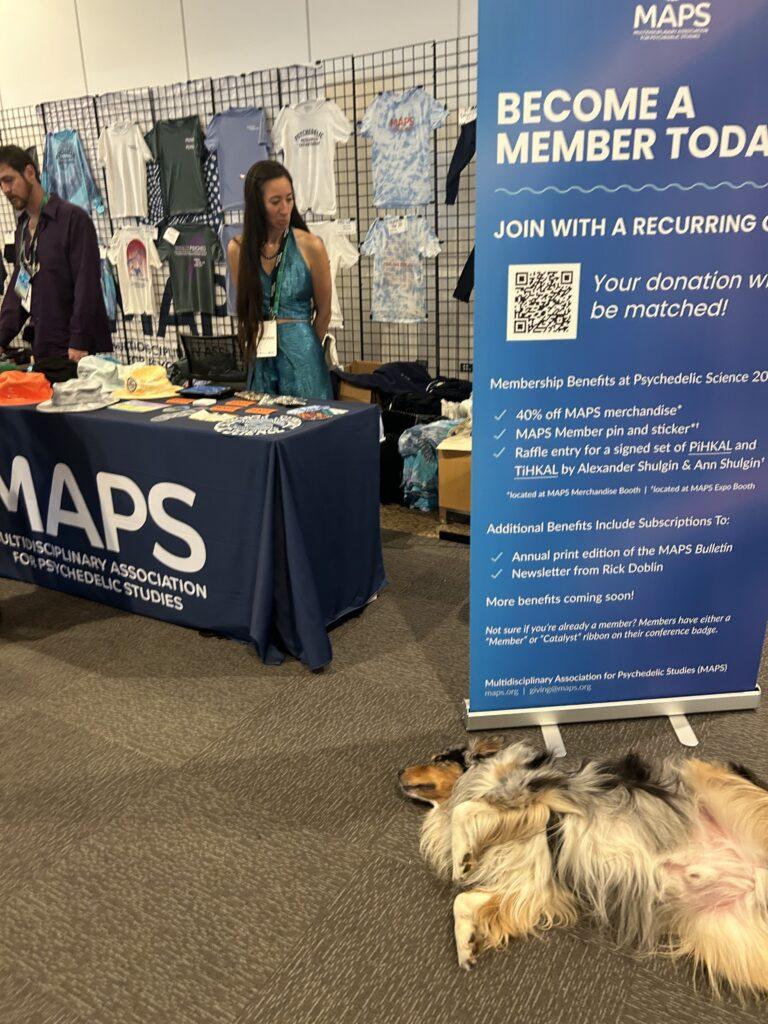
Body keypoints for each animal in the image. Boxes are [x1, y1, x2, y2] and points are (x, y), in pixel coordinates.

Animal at [398, 737, 768, 997]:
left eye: (439, 759)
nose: (398, 771)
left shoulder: (535, 795)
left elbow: (466, 809)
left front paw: (462, 854)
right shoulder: (532, 883)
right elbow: (463, 902)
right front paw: (467, 944)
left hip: (707, 773)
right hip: (731, 944)